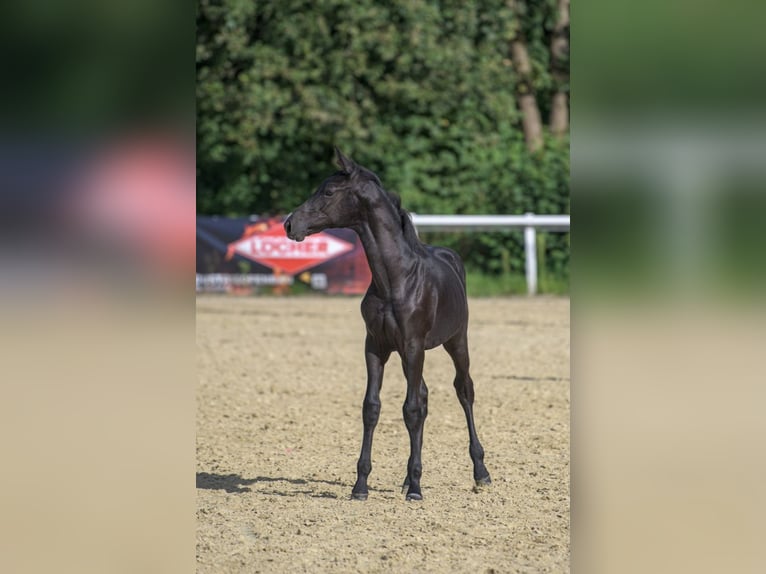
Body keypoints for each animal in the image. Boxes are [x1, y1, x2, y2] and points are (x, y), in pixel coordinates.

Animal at [284, 150, 496, 504]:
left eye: (328, 192)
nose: (289, 224)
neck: (395, 279)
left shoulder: (412, 344)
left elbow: (410, 409)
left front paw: (415, 490)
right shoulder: (376, 346)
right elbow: (373, 407)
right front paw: (361, 486)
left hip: (456, 341)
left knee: (464, 390)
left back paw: (480, 473)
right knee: (424, 396)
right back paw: (408, 476)